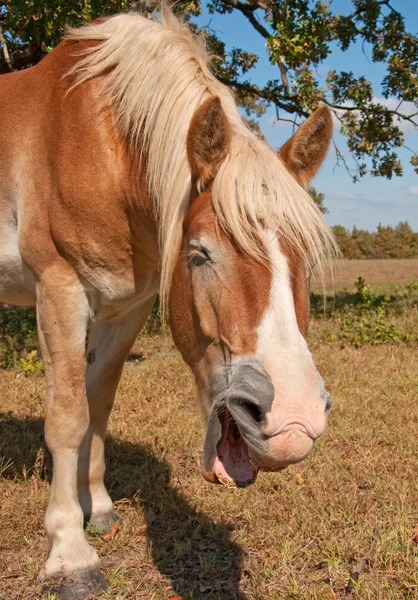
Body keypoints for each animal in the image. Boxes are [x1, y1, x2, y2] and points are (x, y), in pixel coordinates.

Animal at [0, 4, 336, 596]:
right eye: (199, 252)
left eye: (306, 259)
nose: (294, 422)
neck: (100, 145)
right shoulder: (59, 289)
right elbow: (67, 415)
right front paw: (69, 554)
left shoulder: (126, 306)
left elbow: (98, 404)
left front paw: (98, 508)